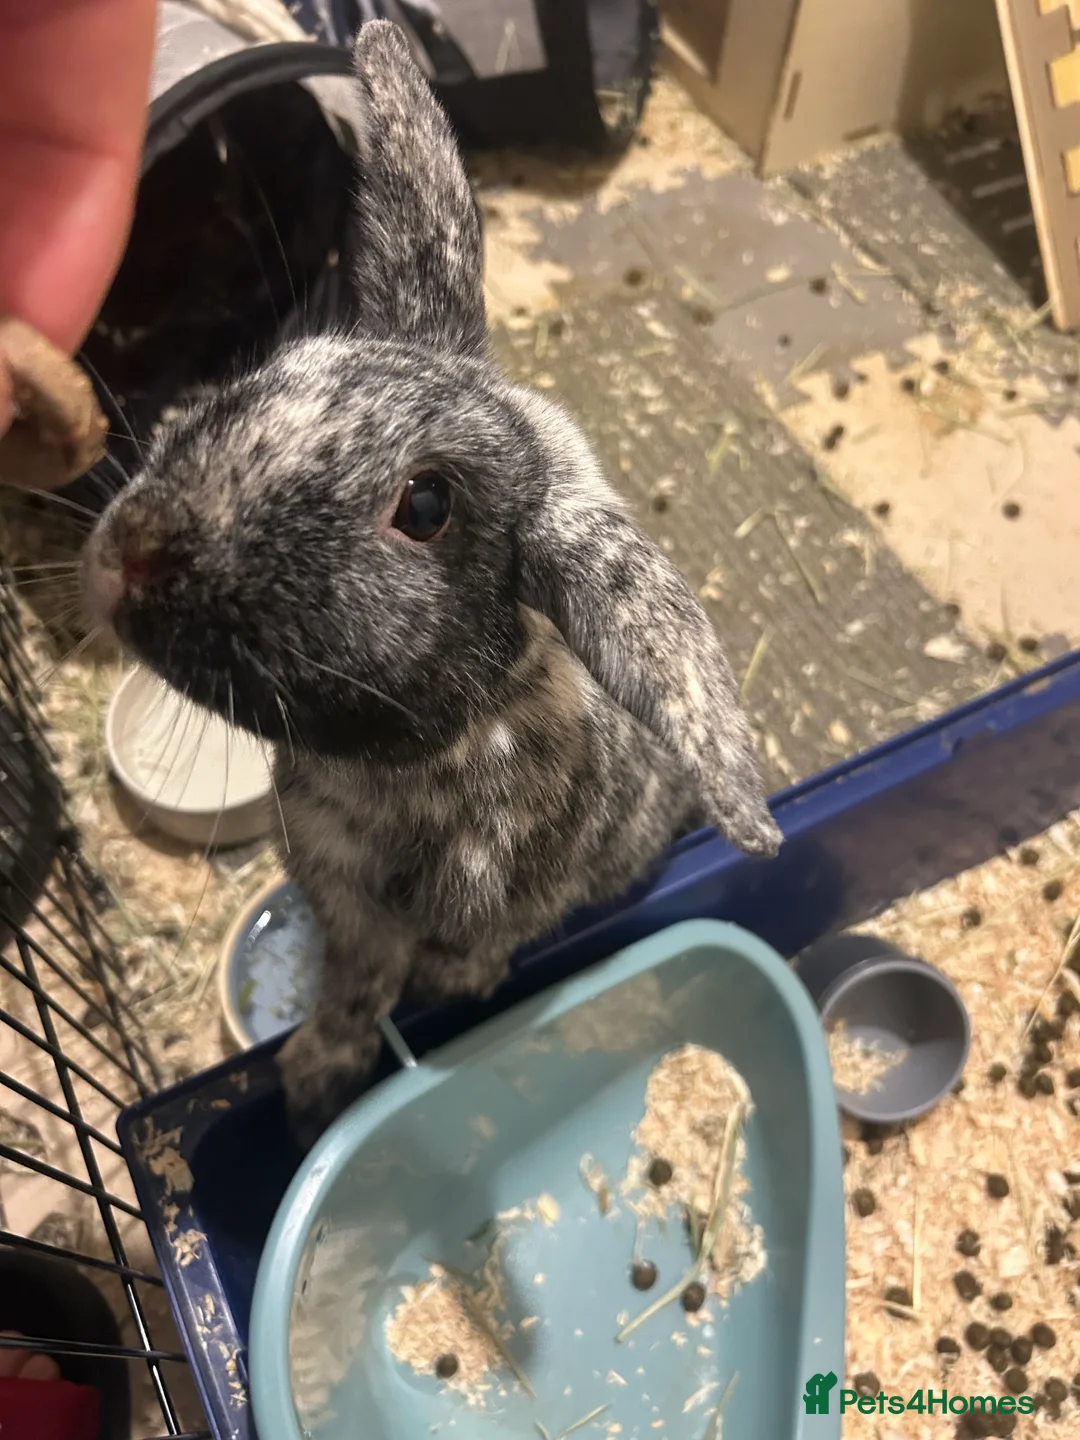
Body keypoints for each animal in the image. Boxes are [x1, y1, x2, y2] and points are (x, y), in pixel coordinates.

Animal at [81, 19, 782, 1149]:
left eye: (425, 506)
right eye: (269, 373)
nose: (131, 553)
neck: (405, 765)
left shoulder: (501, 902)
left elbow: (455, 962)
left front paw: (439, 998)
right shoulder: (344, 904)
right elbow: (353, 991)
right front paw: (317, 1080)